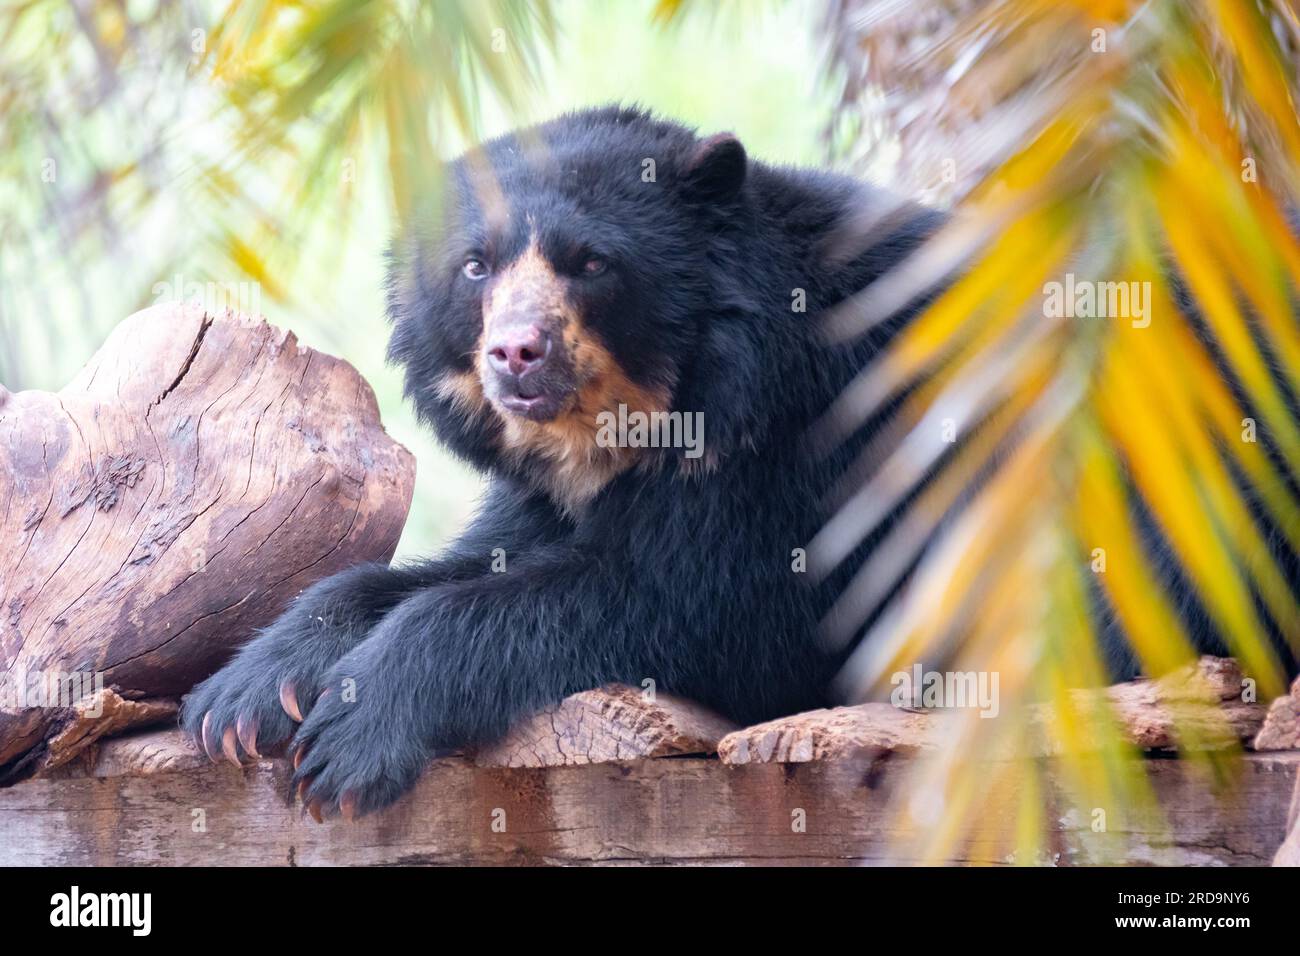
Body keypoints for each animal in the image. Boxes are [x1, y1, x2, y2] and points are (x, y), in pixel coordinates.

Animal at [178, 106, 1294, 822]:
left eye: (590, 263)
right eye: (474, 266)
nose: (516, 355)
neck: (645, 415)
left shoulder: (813, 448)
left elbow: (696, 601)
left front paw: (347, 733)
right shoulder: (555, 490)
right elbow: (461, 563)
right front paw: (242, 699)